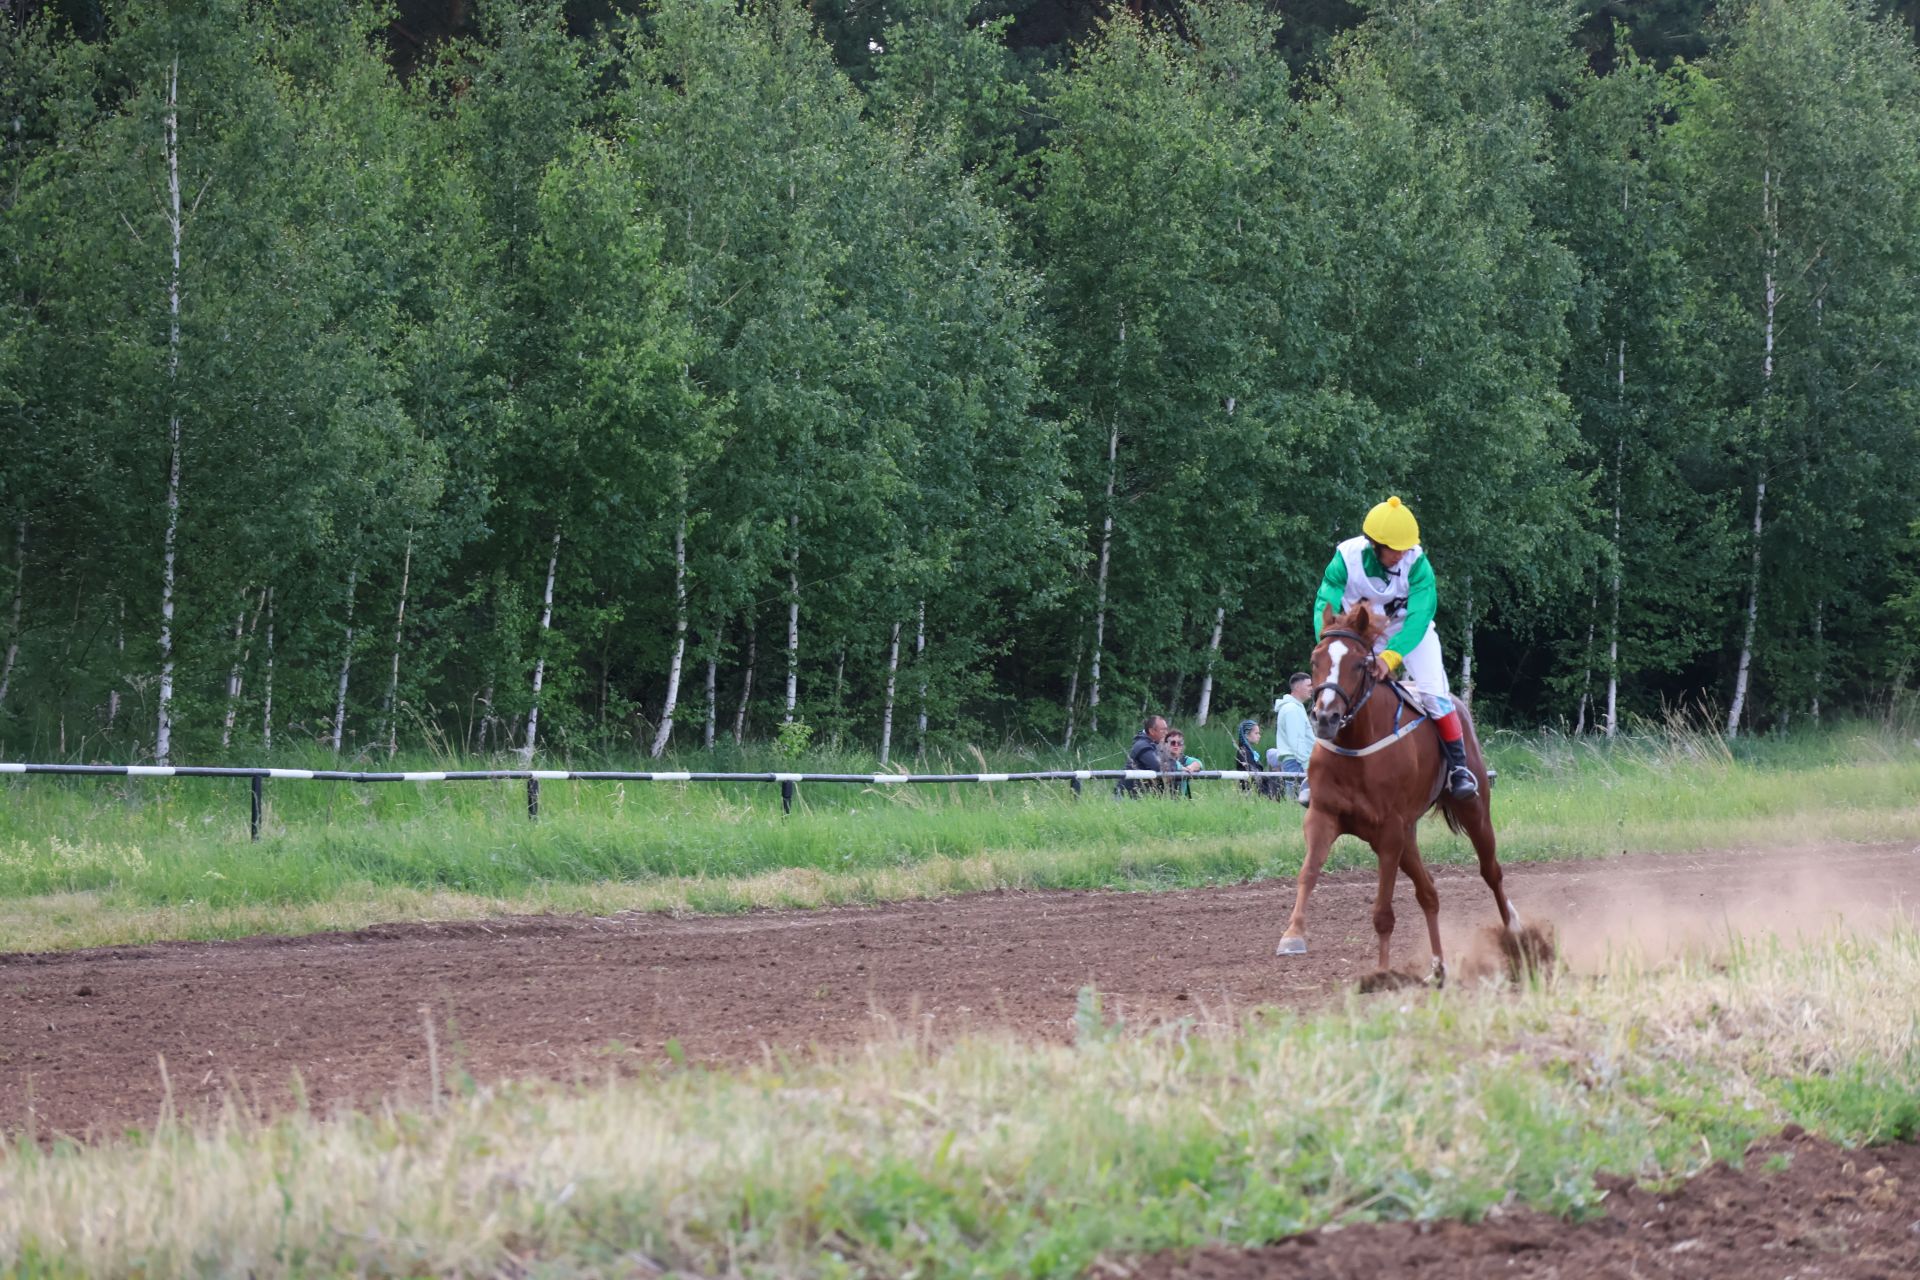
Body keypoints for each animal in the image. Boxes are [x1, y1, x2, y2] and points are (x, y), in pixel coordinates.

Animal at [1274, 598, 1512, 982]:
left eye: (1359, 663)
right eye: (1315, 659)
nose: (1325, 717)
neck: (1357, 747)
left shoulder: (1389, 831)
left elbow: (1383, 911)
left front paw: (1382, 974)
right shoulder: (1324, 816)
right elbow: (1308, 872)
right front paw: (1293, 934)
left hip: (1474, 811)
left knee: (1492, 872)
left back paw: (1517, 935)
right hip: (1408, 834)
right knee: (1429, 892)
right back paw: (1438, 966)